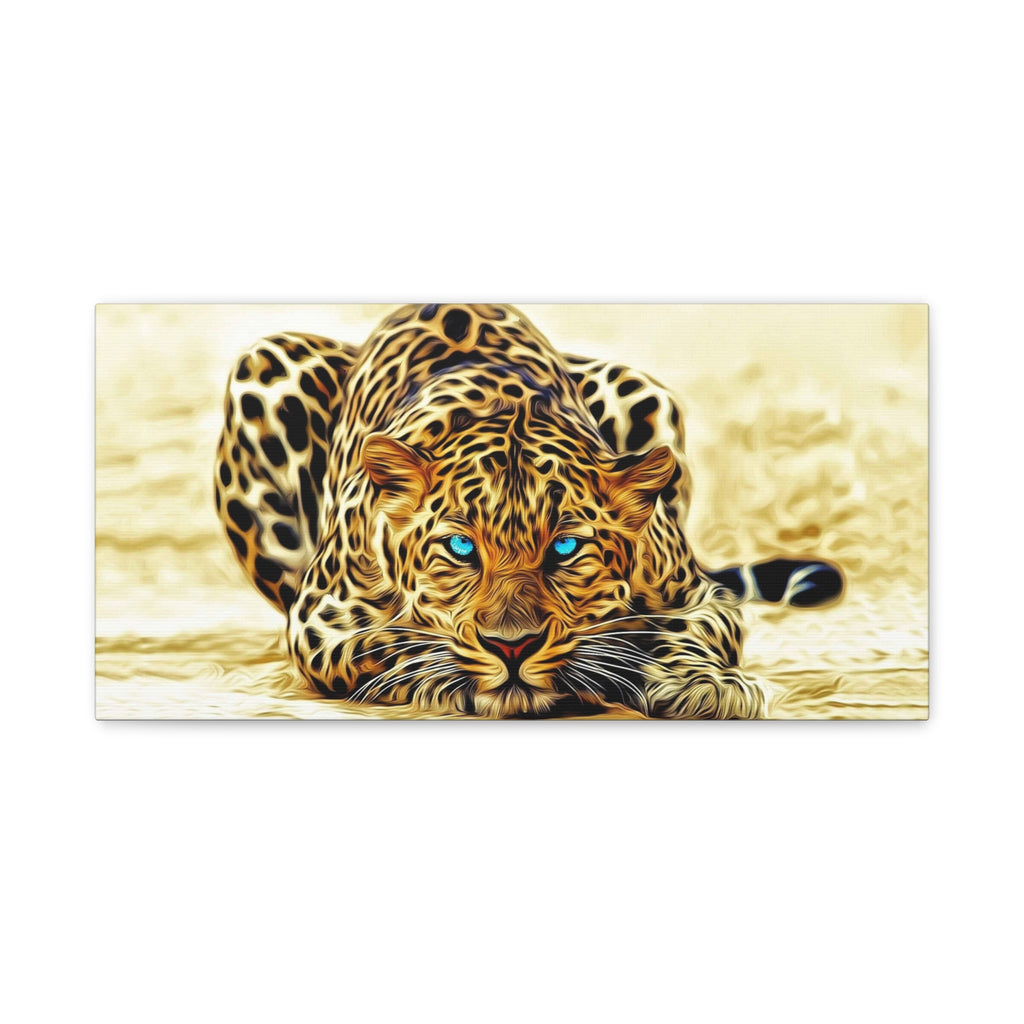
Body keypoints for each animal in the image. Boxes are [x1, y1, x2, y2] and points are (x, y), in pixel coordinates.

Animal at [214, 303, 843, 719]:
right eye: (461, 547)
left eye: (565, 547)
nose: (512, 647)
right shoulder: (320, 618)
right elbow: (389, 644)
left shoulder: (698, 594)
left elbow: (693, 629)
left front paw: (702, 684)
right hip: (265, 364)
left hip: (642, 389)